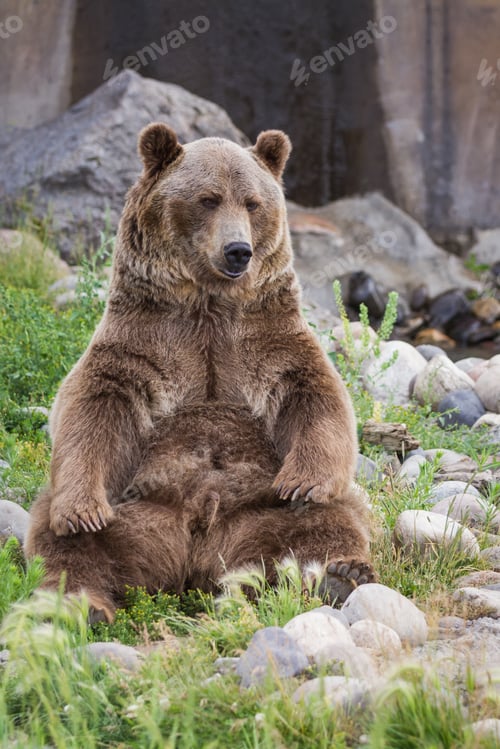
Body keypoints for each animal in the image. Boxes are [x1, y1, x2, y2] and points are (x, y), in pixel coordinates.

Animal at [25, 123, 375, 622]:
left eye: (252, 202)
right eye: (208, 199)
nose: (238, 251)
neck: (208, 305)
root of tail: (194, 558)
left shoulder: (267, 340)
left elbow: (315, 395)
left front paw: (302, 479)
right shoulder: (143, 342)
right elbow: (92, 407)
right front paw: (81, 510)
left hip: (260, 510)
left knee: (328, 521)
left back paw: (339, 574)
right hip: (135, 511)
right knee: (60, 542)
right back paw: (78, 604)